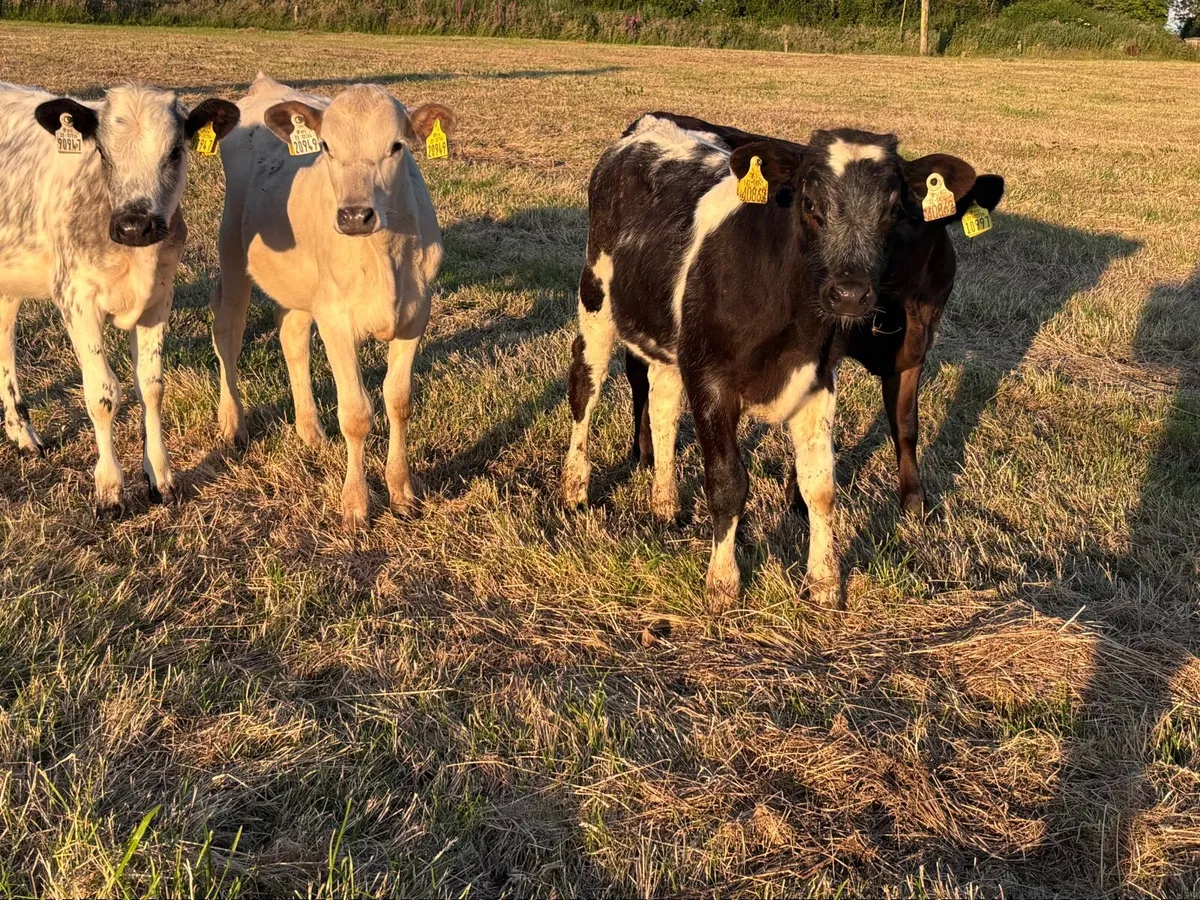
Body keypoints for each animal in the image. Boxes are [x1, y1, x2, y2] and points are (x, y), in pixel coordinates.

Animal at [0, 82, 239, 517]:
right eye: (102, 151)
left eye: (175, 151)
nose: (134, 225)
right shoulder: (76, 300)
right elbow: (102, 394)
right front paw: (109, 488)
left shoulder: (159, 299)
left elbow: (151, 385)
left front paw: (160, 476)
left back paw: (21, 432)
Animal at [210, 74, 455, 530]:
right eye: (325, 146)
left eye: (397, 146)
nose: (355, 216)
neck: (383, 256)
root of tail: (265, 86)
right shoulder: (337, 321)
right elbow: (356, 414)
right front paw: (356, 504)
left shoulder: (416, 315)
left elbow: (399, 401)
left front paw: (402, 491)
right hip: (233, 247)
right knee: (228, 331)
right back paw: (232, 423)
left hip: (302, 285)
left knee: (292, 339)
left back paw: (309, 430)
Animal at [563, 113, 1000, 607]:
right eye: (809, 202)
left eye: (893, 210)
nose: (849, 294)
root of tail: (650, 126)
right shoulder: (711, 380)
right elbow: (728, 484)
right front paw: (723, 583)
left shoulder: (817, 381)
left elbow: (820, 487)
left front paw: (825, 580)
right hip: (596, 300)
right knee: (585, 385)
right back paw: (574, 488)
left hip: (668, 340)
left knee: (662, 405)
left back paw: (664, 502)